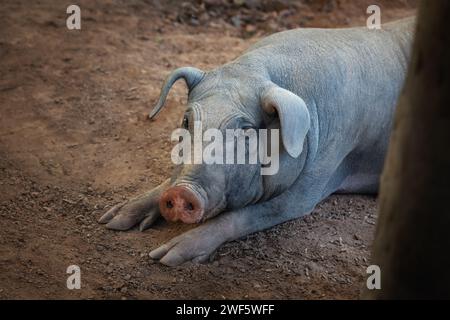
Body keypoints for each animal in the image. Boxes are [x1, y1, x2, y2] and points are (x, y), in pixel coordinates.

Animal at [98, 18, 414, 268]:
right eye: (186, 121)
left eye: (246, 130)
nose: (182, 192)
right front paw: (111, 220)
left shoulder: (318, 179)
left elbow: (246, 216)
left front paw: (165, 256)